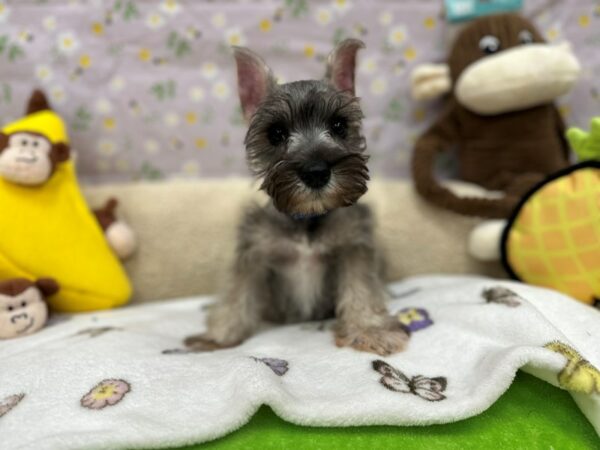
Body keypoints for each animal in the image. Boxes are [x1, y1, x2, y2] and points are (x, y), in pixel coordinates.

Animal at [184, 38, 408, 356]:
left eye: (339, 125)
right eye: (276, 133)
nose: (316, 172)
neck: (307, 219)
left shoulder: (353, 246)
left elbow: (360, 287)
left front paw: (370, 329)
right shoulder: (254, 252)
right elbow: (238, 294)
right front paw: (218, 336)